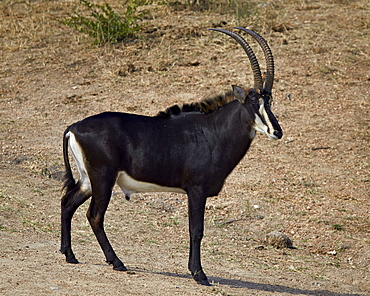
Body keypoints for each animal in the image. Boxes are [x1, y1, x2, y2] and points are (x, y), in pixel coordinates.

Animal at [60, 27, 282, 284]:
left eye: (270, 100)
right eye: (253, 101)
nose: (277, 132)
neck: (213, 131)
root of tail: (74, 127)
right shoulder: (196, 190)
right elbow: (196, 230)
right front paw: (199, 274)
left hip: (88, 180)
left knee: (68, 202)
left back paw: (70, 255)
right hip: (103, 178)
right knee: (95, 216)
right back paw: (116, 262)